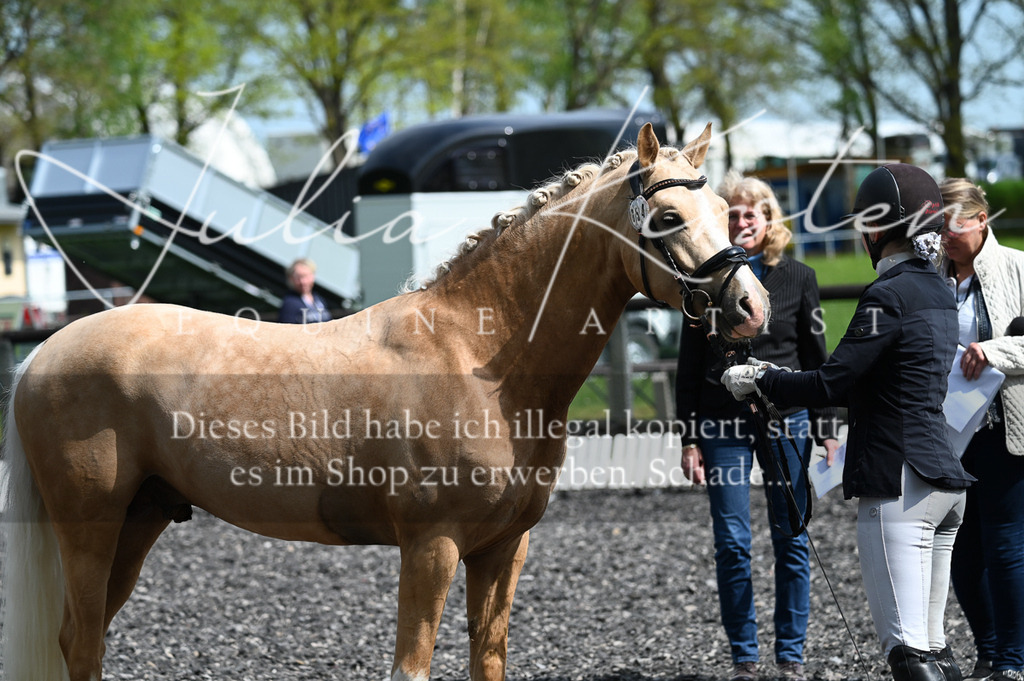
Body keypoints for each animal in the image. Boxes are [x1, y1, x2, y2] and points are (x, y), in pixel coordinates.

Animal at [1, 122, 769, 681]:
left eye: (722, 211)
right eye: (667, 216)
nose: (751, 305)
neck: (477, 358)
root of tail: (42, 352)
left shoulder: (502, 548)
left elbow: (488, 659)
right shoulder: (432, 545)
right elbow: (412, 666)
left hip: (141, 518)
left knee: (89, 638)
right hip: (91, 526)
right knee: (80, 641)